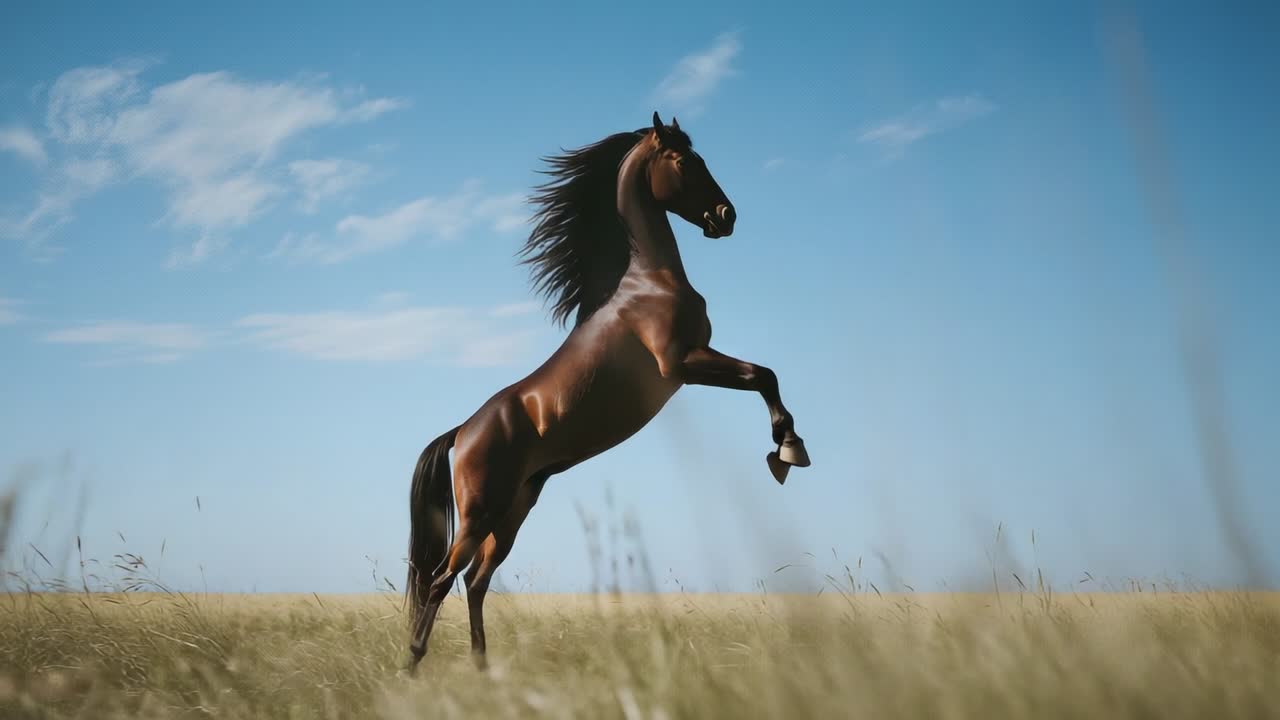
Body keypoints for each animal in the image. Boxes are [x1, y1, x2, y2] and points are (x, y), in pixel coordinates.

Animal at [404, 112, 811, 674]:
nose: (725, 216)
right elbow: (763, 375)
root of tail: (462, 432)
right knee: (442, 580)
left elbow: (765, 375)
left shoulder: (692, 363)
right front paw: (787, 450)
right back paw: (412, 664)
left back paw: (484, 669)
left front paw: (786, 448)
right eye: (683, 161)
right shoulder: (681, 363)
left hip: (514, 510)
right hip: (480, 512)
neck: (648, 281)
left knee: (475, 581)